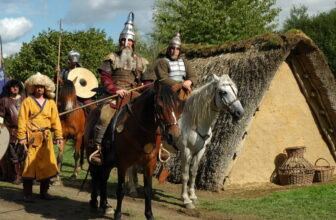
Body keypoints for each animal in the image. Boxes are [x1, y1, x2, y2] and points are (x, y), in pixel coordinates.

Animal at [84, 83, 184, 219]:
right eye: (160, 106)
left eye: (177, 107)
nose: (174, 136)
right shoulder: (123, 164)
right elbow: (120, 189)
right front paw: (118, 214)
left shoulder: (149, 164)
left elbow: (148, 190)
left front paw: (149, 215)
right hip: (93, 157)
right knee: (95, 176)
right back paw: (94, 202)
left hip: (107, 163)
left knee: (103, 179)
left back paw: (105, 205)